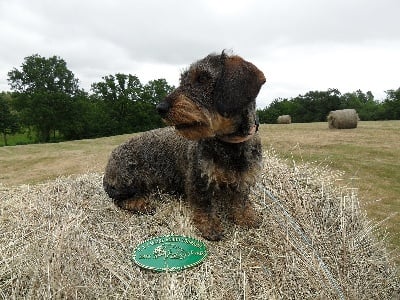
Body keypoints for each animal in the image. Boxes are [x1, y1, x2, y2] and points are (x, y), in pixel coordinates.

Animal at [103, 50, 266, 240]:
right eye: (183, 80)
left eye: (202, 78)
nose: (160, 108)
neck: (228, 144)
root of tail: (109, 163)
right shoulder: (198, 179)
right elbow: (204, 204)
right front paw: (209, 226)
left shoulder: (244, 179)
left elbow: (241, 200)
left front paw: (246, 217)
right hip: (130, 180)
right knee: (118, 199)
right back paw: (140, 204)